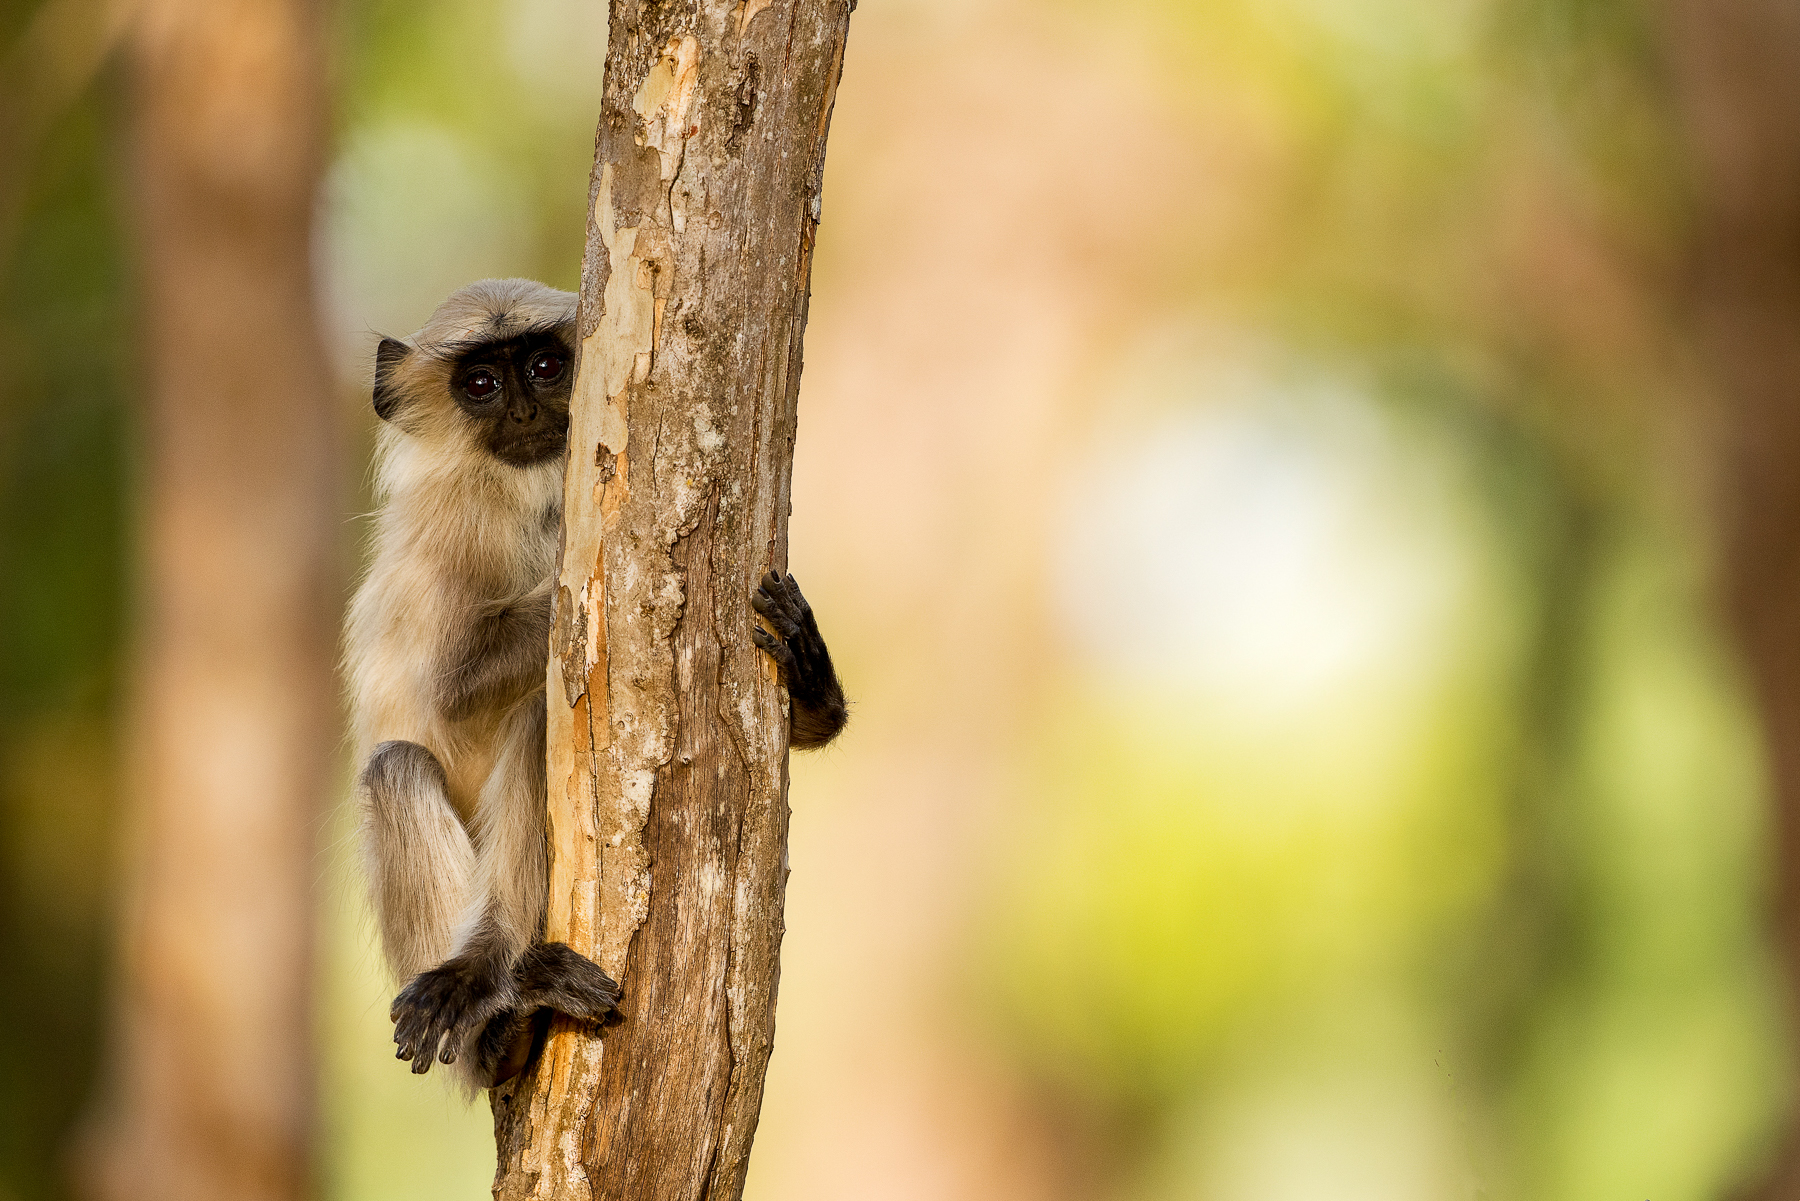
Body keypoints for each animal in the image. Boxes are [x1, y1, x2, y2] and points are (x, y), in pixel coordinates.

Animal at [344, 278, 848, 1089]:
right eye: (480, 384)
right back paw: (491, 996)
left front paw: (807, 670)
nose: (522, 411)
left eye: (546, 366)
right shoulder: (459, 523)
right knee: (413, 758)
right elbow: (451, 689)